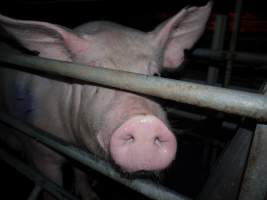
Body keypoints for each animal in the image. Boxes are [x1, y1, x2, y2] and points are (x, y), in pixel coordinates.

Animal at [0, 1, 214, 200]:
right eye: (95, 80)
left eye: (156, 76)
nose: (144, 123)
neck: (74, 141)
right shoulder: (41, 151)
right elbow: (51, 186)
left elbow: (81, 172)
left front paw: (91, 196)